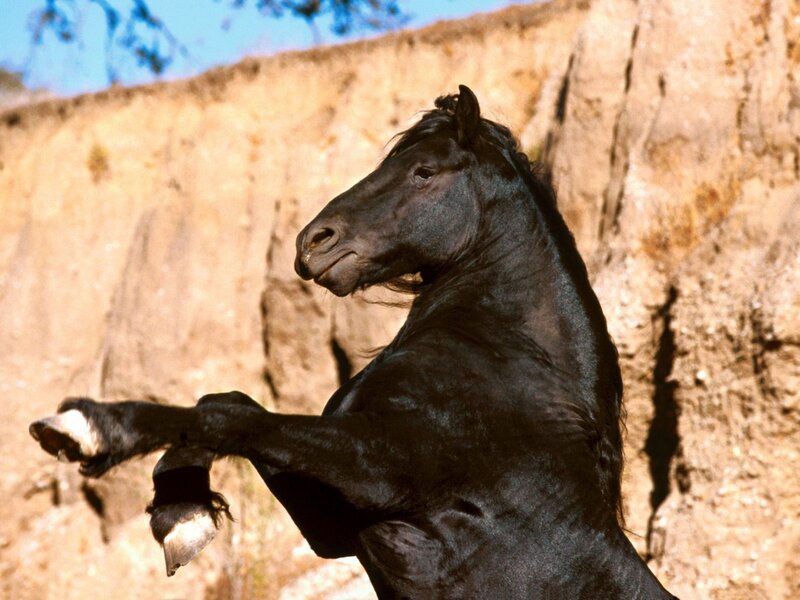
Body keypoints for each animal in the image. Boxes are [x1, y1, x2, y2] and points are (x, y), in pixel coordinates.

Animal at [30, 85, 676, 598]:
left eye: (424, 171)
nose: (313, 242)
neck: (510, 376)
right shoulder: (336, 523)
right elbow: (229, 406)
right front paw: (181, 513)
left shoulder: (378, 470)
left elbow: (230, 418)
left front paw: (85, 429)